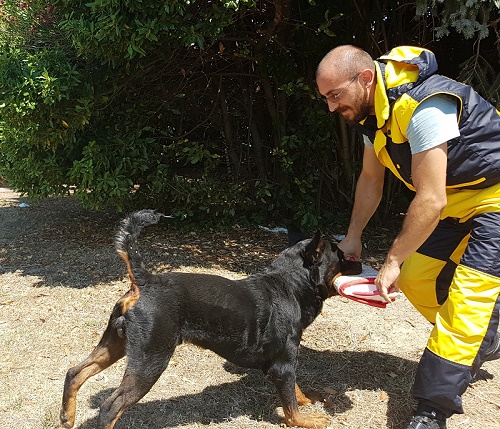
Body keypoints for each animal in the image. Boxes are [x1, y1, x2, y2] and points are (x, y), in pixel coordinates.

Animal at [60, 209, 362, 426]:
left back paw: (67, 417)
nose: (359, 259)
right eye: (341, 255)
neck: (289, 283)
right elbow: (290, 404)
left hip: (116, 343)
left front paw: (307, 399)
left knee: (75, 371)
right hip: (150, 359)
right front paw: (307, 419)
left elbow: (295, 390)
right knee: (110, 407)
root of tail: (144, 281)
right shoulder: (284, 364)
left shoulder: (282, 364)